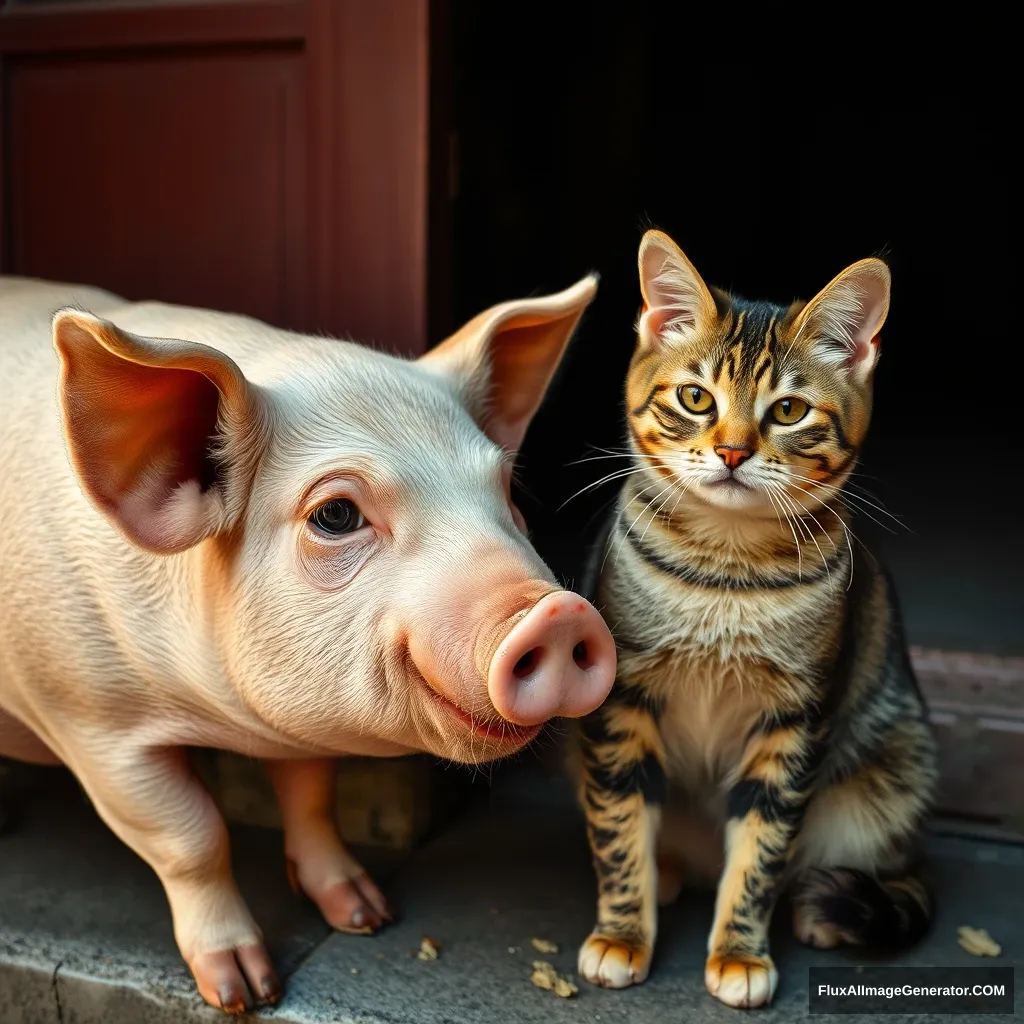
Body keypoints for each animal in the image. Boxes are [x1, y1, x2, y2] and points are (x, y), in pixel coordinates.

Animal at [0, 274, 614, 1015]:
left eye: (503, 489)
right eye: (336, 515)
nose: (561, 612)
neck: (220, 718)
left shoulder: (300, 722)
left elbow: (312, 797)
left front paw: (367, 917)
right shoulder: (90, 720)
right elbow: (190, 836)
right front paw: (244, 992)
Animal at [573, 230, 937, 1007]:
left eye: (790, 411)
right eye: (694, 397)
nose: (734, 450)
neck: (726, 572)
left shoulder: (794, 720)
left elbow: (763, 848)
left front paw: (739, 949)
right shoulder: (620, 704)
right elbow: (618, 825)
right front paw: (623, 931)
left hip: (892, 770)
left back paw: (822, 910)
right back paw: (668, 874)